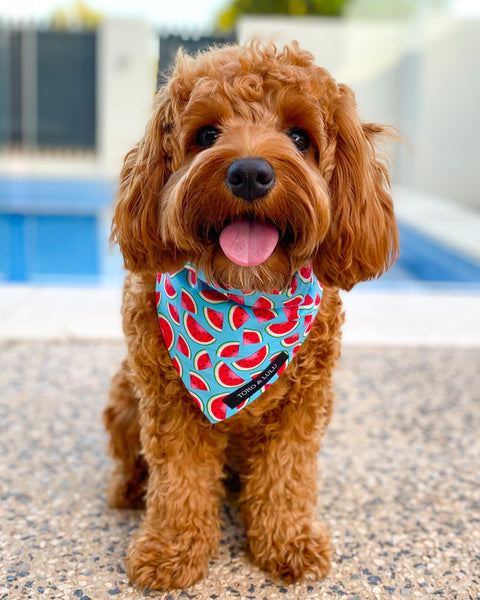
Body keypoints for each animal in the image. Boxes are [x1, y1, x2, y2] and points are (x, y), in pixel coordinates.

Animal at [103, 43, 400, 592]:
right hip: (122, 395)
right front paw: (171, 550)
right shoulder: (169, 406)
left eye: (300, 137)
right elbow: (179, 482)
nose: (248, 173)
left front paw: (287, 542)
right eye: (206, 135)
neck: (244, 305)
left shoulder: (303, 408)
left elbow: (286, 477)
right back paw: (129, 489)